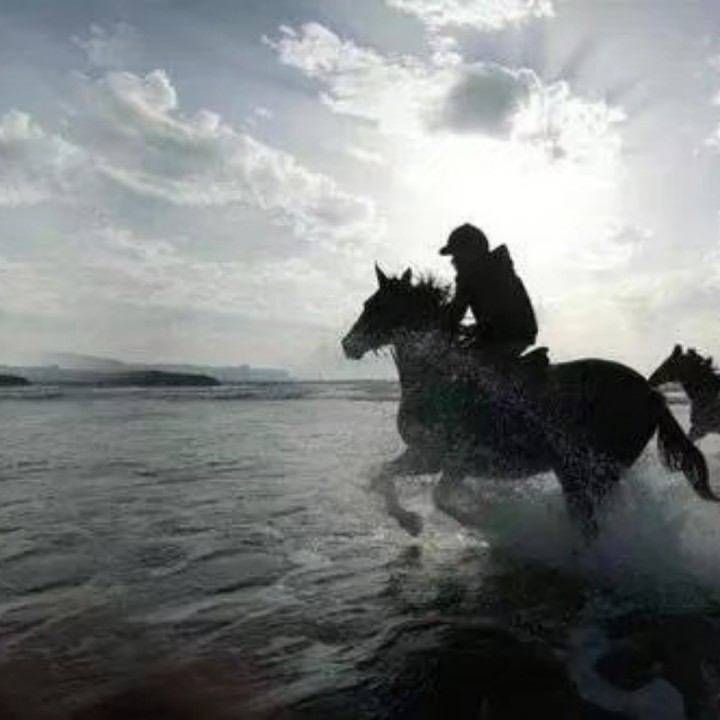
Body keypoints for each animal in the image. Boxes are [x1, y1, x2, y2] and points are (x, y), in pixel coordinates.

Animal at [341, 266, 718, 540]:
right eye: (366, 304)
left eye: (377, 306)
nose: (348, 344)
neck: (437, 375)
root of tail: (651, 394)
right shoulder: (432, 458)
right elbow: (386, 476)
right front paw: (412, 522)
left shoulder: (441, 458)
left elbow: (435, 496)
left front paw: (479, 521)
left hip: (584, 473)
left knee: (589, 525)